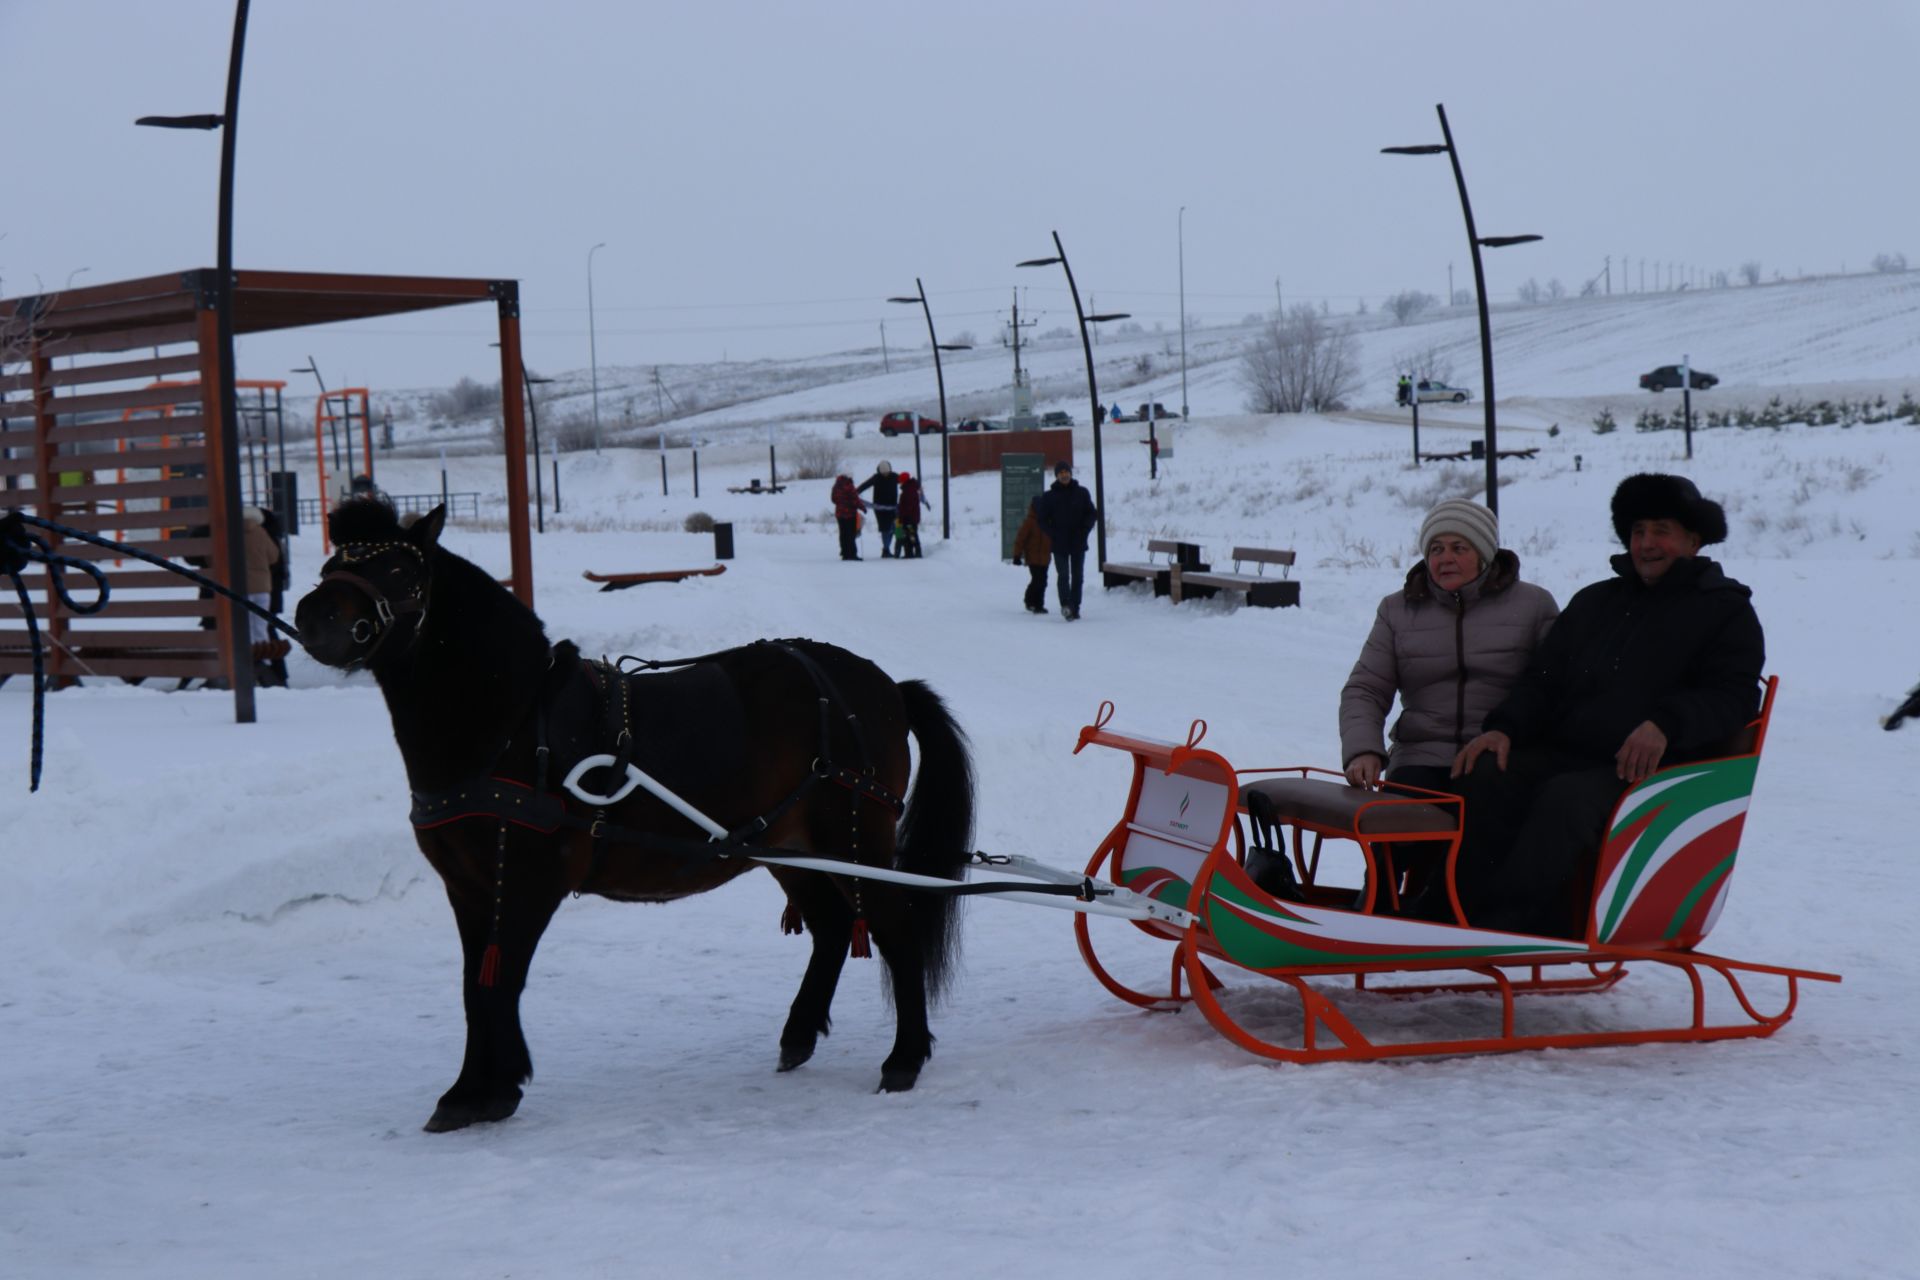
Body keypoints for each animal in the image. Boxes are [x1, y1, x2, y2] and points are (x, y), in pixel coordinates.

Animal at [295, 498, 975, 1128]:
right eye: (330, 564)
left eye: (398, 569)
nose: (313, 618)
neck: (514, 722)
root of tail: (881, 687)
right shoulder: (468, 888)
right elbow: (473, 987)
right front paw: (468, 1090)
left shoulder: (528, 882)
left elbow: (500, 981)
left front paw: (495, 1088)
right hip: (789, 846)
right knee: (834, 928)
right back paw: (799, 1036)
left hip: (854, 839)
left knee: (894, 931)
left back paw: (905, 1058)